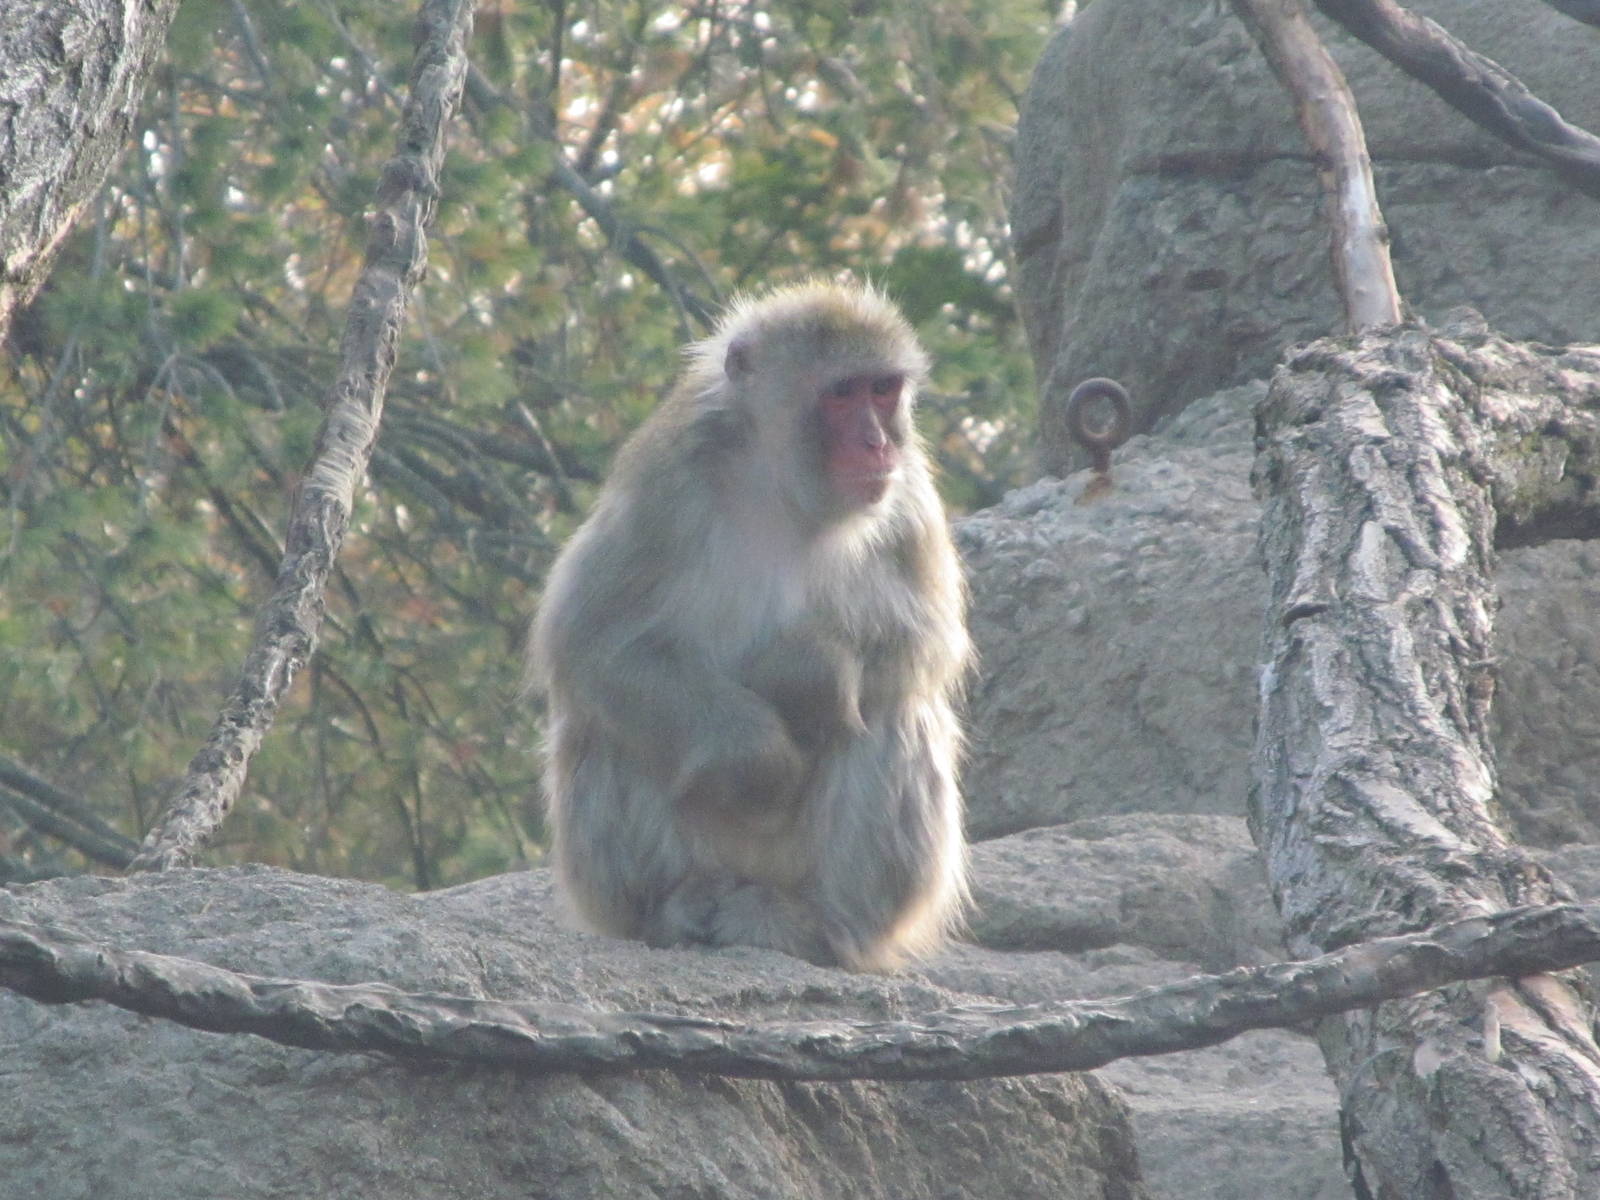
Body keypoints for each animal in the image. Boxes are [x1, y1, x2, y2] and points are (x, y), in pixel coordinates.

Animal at [528, 279, 972, 971]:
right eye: (841, 393)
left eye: (882, 389)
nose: (878, 443)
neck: (782, 484)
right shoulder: (666, 478)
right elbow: (590, 636)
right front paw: (757, 757)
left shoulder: (906, 488)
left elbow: (929, 637)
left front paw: (804, 675)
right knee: (605, 721)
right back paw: (673, 909)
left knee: (895, 711)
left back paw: (820, 925)